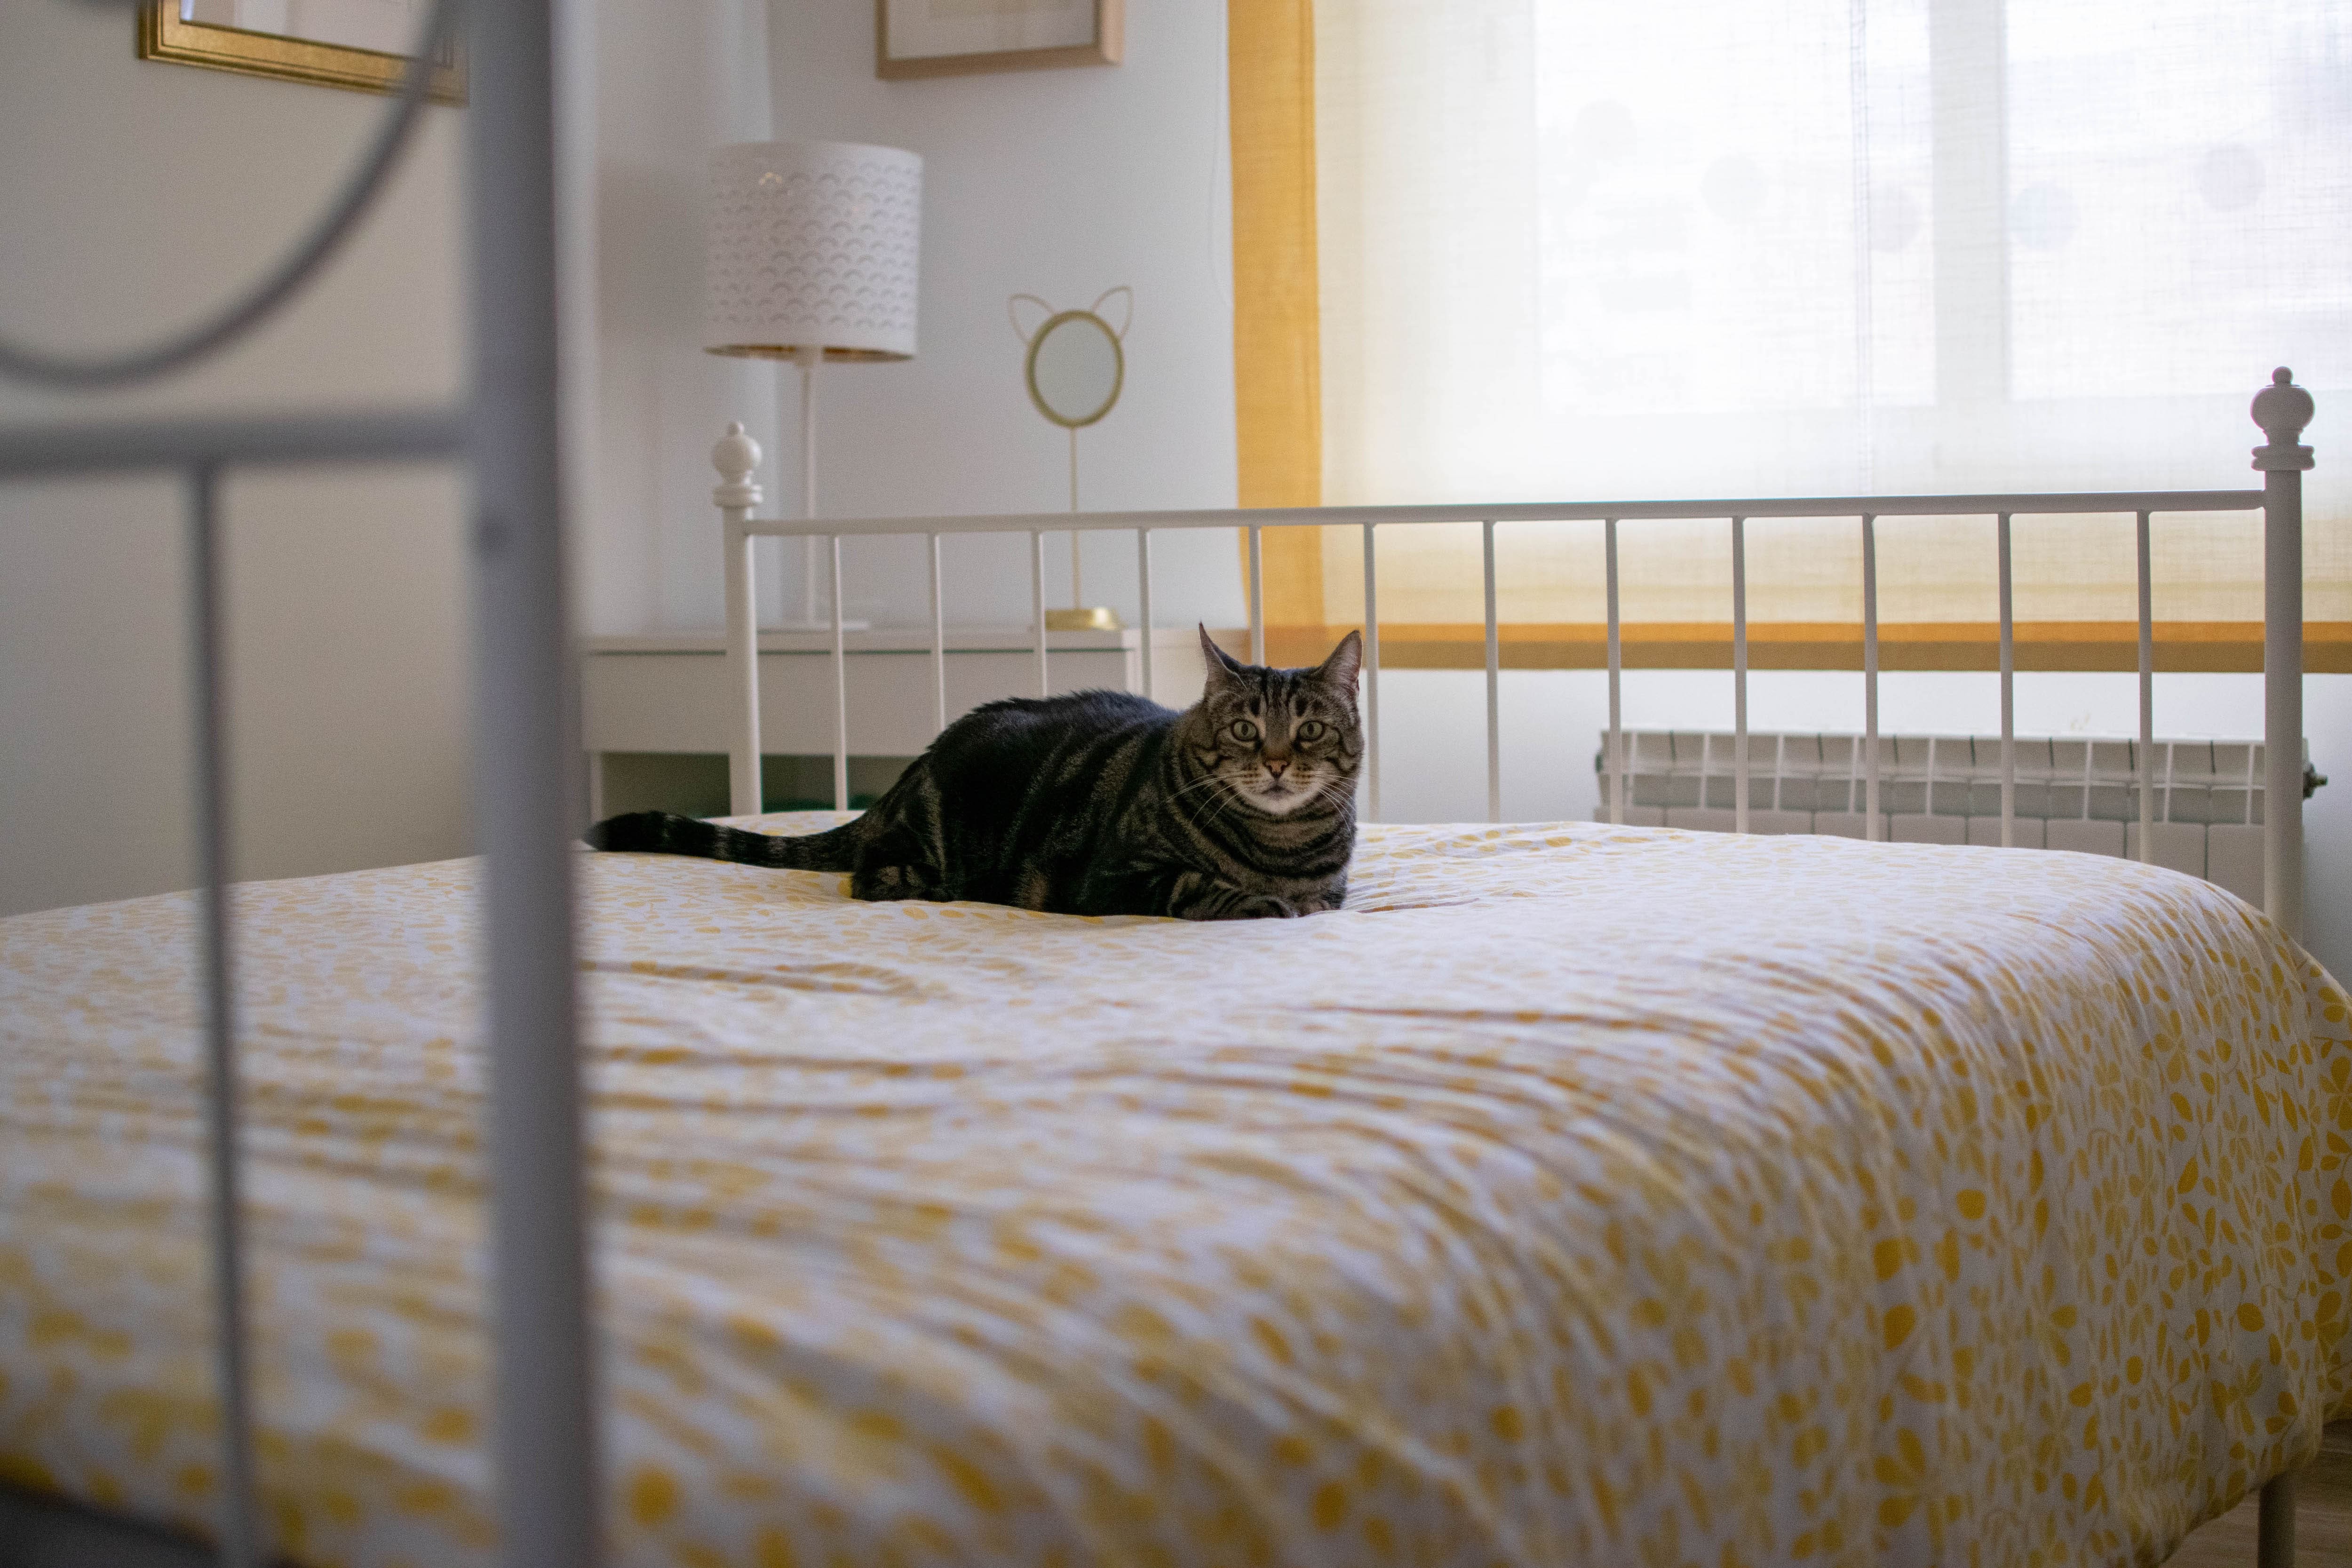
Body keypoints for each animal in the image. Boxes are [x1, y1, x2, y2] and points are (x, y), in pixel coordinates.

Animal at [588, 625, 1364, 921]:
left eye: (1310, 730)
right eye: (1245, 730)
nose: (1276, 763)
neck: (1280, 847)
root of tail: (912, 771)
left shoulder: (1335, 890)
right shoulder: (1111, 878)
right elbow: (1195, 883)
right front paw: (1261, 902)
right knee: (870, 876)